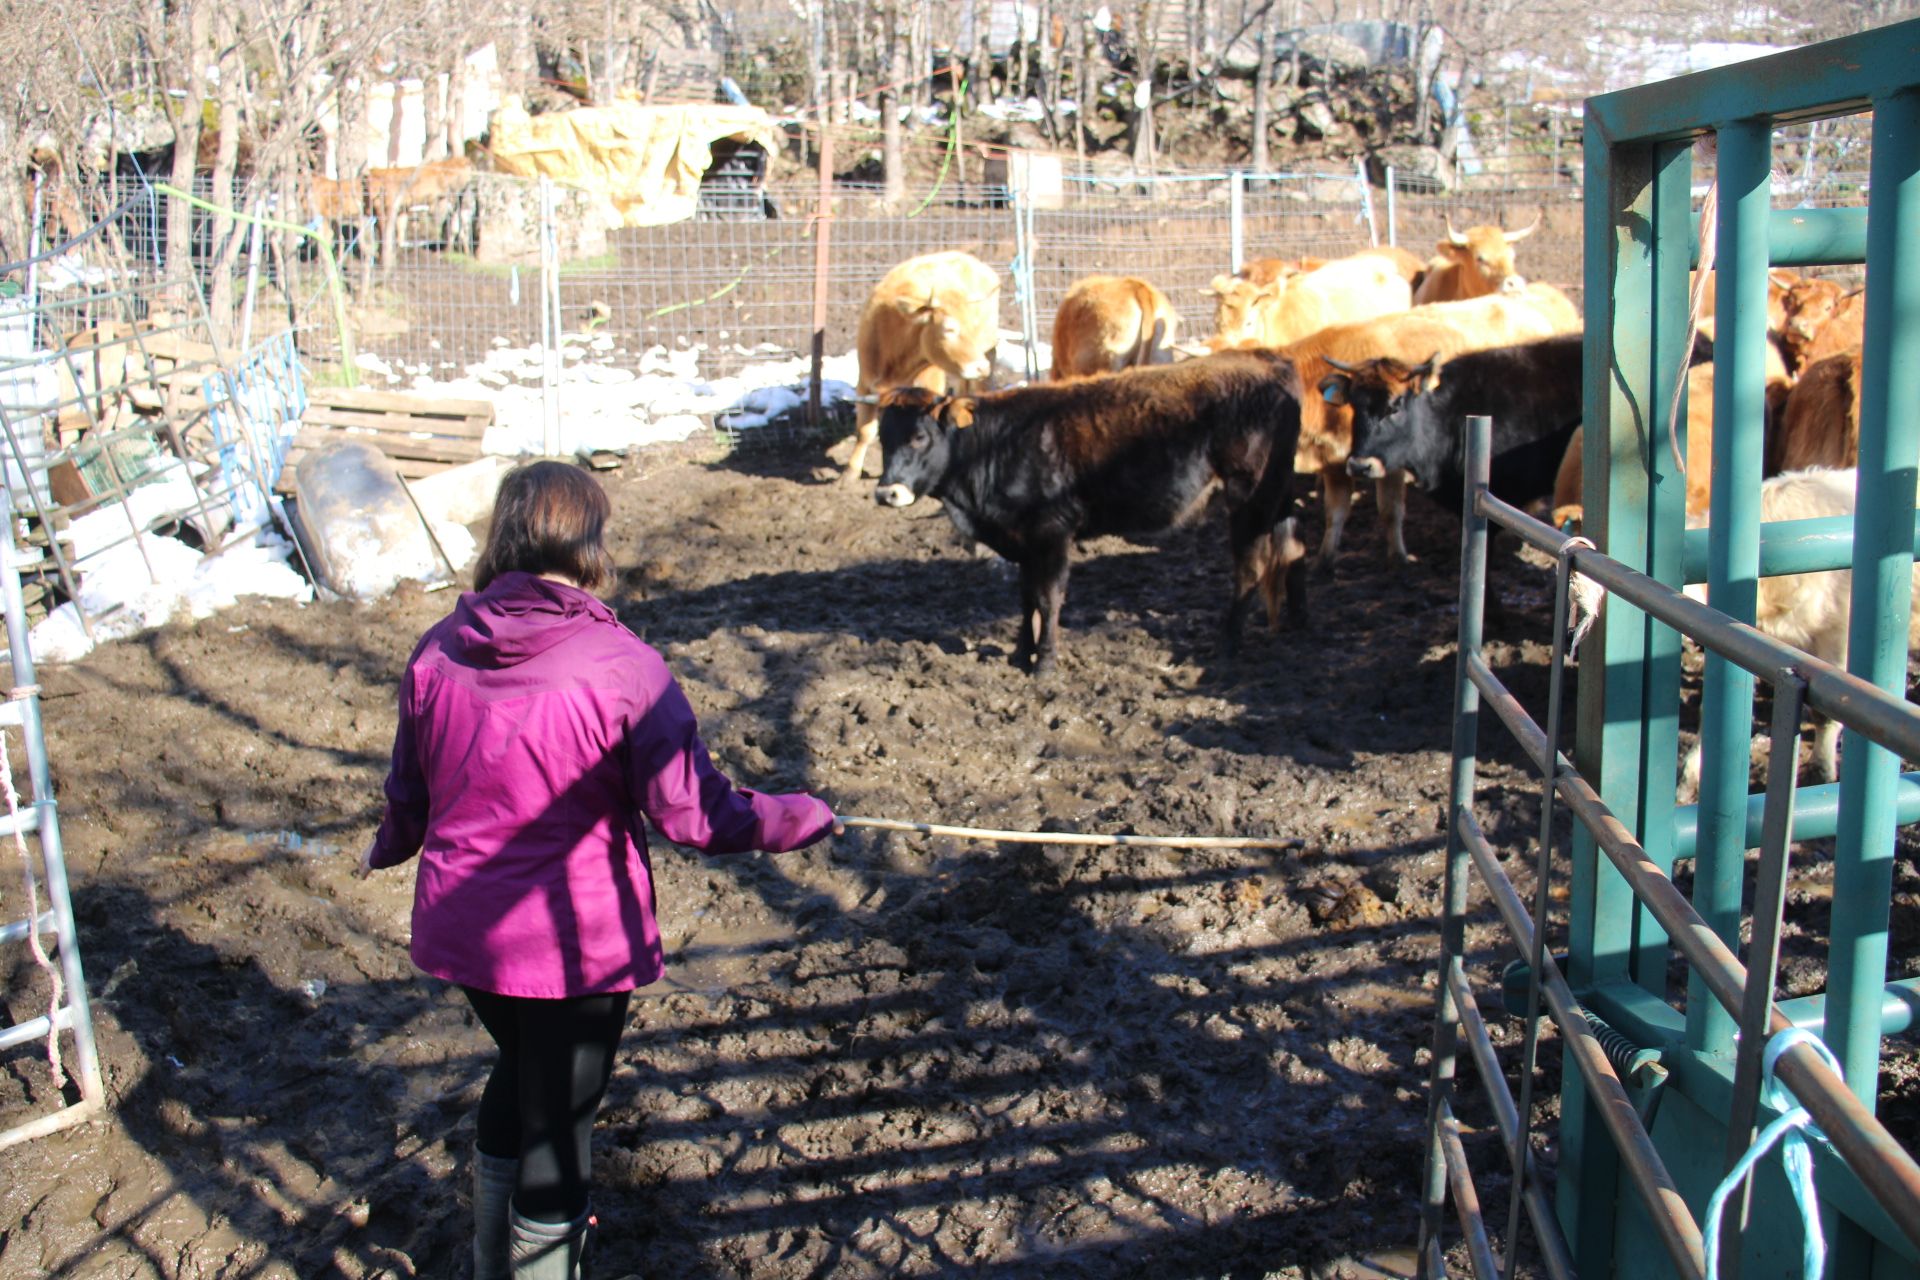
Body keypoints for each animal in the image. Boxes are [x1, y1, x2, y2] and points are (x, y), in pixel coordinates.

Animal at [879, 345, 1313, 675]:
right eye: (882, 438)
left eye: (919, 437)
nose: (887, 493)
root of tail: (1267, 359)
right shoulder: (1023, 540)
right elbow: (1025, 596)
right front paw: (1021, 654)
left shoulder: (1052, 533)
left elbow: (1048, 598)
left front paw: (1044, 663)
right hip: (1279, 491)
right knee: (1294, 548)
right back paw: (1296, 622)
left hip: (1250, 497)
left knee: (1250, 569)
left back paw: (1227, 644)